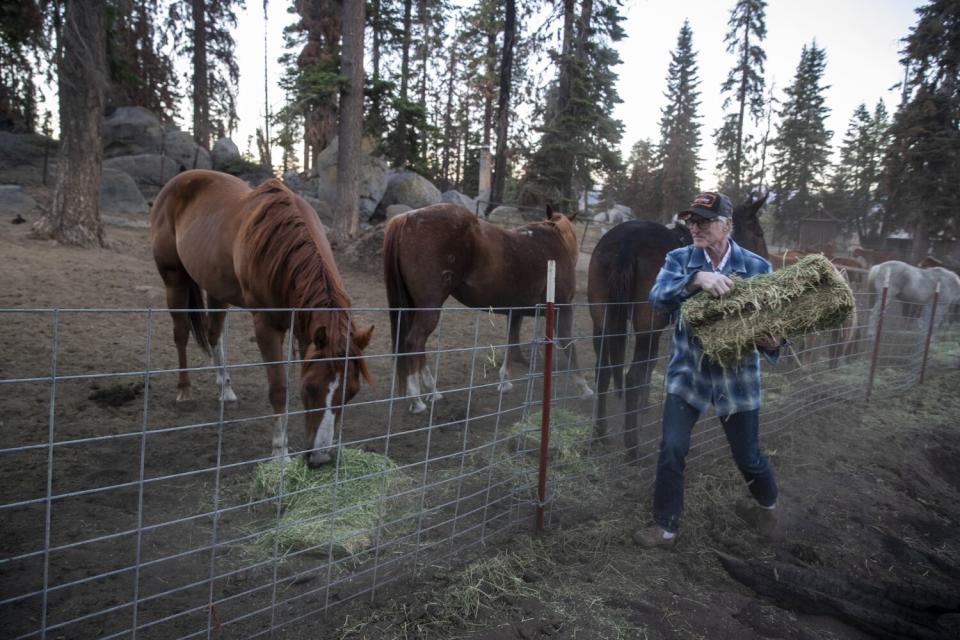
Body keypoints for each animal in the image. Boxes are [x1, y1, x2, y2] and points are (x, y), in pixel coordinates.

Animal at [152, 170, 374, 468]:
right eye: (310, 388)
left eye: (351, 392)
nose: (321, 457)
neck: (282, 250)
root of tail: (177, 181)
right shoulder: (266, 326)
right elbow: (279, 388)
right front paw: (280, 453)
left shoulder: (303, 330)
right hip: (174, 280)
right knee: (181, 334)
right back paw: (184, 392)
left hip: (216, 288)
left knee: (213, 334)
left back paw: (225, 390)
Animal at [382, 205, 592, 416]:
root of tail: (408, 218)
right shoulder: (562, 310)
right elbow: (569, 345)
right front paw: (584, 387)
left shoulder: (516, 311)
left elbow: (511, 342)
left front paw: (505, 381)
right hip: (429, 307)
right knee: (414, 342)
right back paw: (416, 399)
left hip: (415, 307)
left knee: (418, 345)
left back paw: (432, 391)